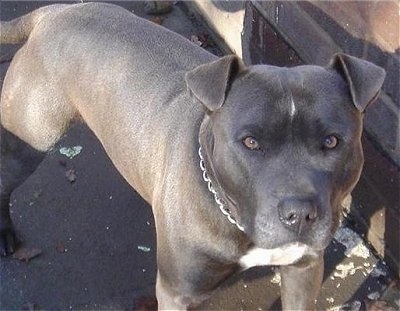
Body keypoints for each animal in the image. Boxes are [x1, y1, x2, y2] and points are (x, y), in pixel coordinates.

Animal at [0, 1, 386, 310]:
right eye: (250, 142)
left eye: (332, 142)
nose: (300, 214)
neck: (234, 216)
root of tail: (55, 12)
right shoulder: (178, 292)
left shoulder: (303, 269)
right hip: (30, 140)